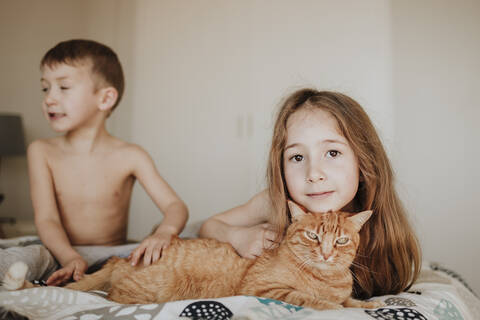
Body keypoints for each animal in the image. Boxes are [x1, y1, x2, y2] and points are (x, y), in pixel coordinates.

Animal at [3, 202, 382, 310]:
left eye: (342, 240)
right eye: (313, 235)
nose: (327, 253)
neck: (325, 277)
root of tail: (123, 259)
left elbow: (351, 301)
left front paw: (364, 304)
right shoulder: (265, 290)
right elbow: (314, 301)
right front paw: (334, 307)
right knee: (113, 295)